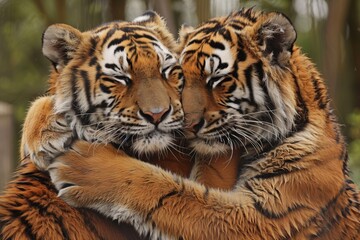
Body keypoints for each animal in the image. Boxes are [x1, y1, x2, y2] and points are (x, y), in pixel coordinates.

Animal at [45, 7, 360, 240]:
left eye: (217, 79)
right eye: (180, 76)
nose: (187, 124)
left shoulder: (264, 219)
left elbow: (173, 194)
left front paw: (85, 167)